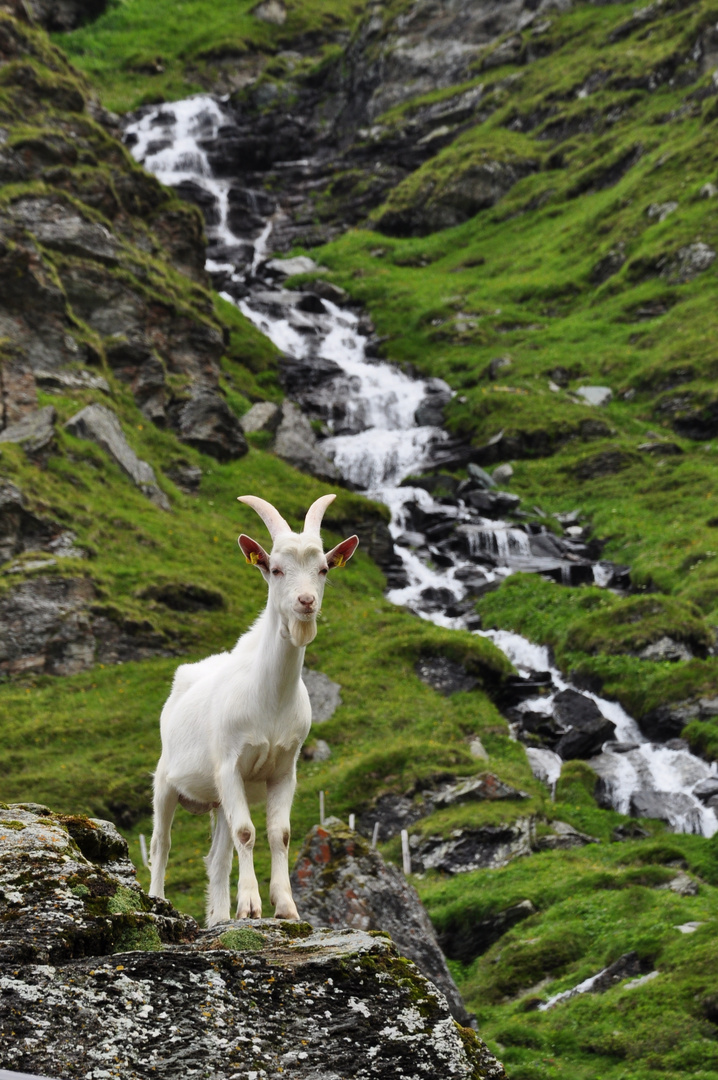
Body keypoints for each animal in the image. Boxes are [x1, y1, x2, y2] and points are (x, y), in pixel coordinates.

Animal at [148, 494, 358, 924]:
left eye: (324, 568)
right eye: (275, 569)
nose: (306, 602)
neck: (270, 700)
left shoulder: (283, 770)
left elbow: (280, 834)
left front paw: (286, 907)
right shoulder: (229, 764)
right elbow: (247, 832)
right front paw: (250, 906)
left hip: (220, 796)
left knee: (217, 856)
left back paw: (219, 917)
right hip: (166, 781)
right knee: (162, 842)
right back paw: (159, 900)